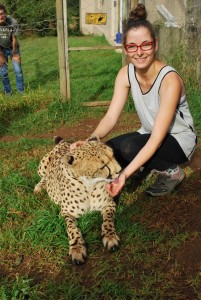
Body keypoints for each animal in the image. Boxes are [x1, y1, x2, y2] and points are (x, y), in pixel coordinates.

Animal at [34, 136, 121, 264]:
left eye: (113, 155)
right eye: (102, 166)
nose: (120, 170)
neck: (89, 185)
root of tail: (64, 143)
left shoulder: (109, 204)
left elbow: (108, 221)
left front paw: (110, 236)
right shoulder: (66, 212)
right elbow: (72, 229)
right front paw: (77, 248)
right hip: (42, 167)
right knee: (44, 177)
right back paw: (39, 187)